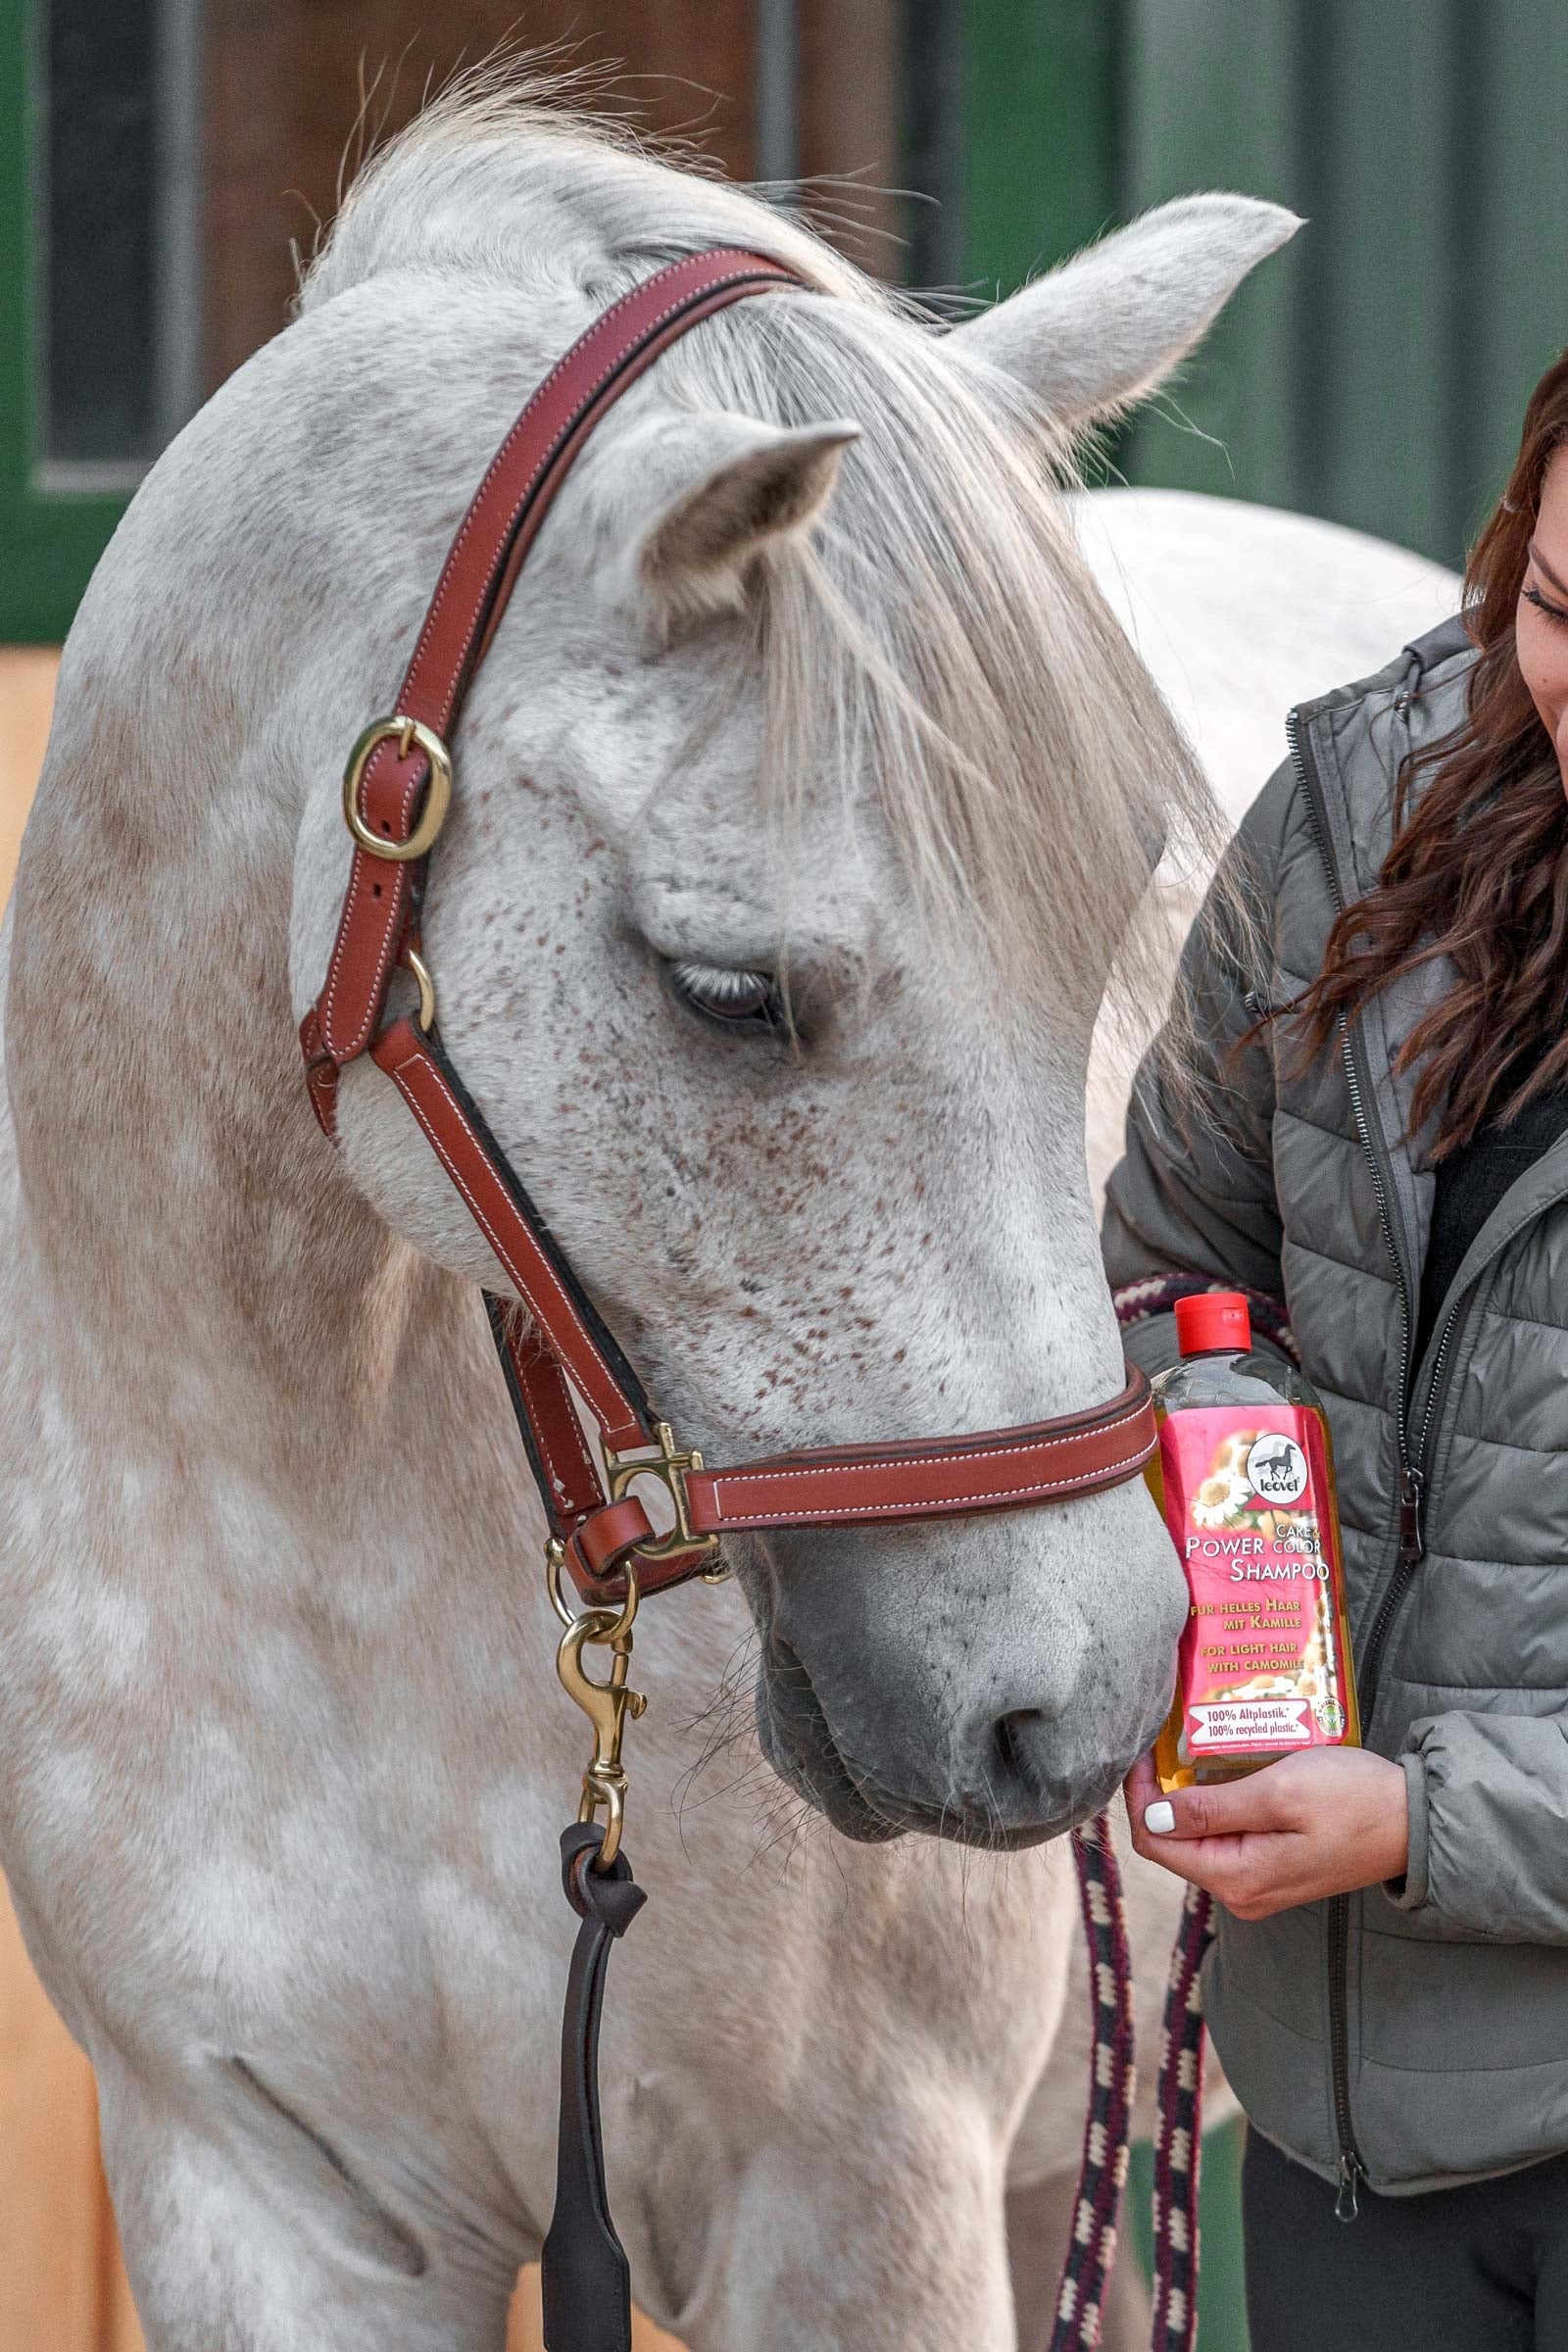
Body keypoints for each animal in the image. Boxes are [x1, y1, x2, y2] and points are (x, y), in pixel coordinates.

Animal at [0, 87, 1454, 2352]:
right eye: (728, 992)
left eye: (1116, 936)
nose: (1083, 1695)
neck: (328, 1544)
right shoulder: (264, 2204)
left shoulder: (850, 2207)